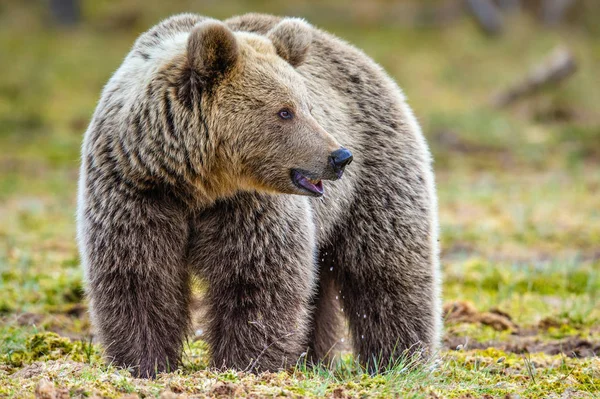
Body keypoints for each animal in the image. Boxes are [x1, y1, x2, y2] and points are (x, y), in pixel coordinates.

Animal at [76, 12, 440, 380]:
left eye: (308, 107)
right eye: (285, 111)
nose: (340, 157)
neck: (197, 183)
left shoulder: (249, 205)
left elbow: (255, 278)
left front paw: (244, 364)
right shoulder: (137, 190)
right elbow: (138, 276)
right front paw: (143, 363)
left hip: (375, 177)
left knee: (386, 269)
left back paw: (400, 359)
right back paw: (314, 359)